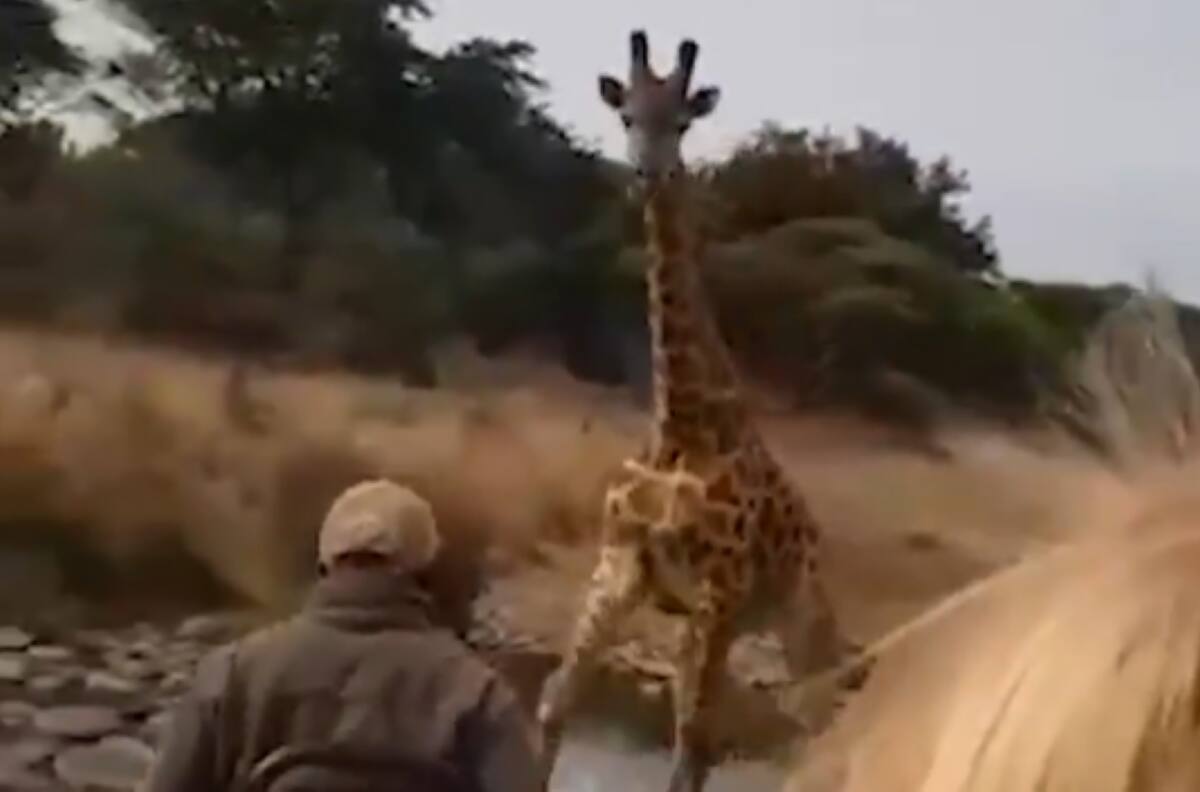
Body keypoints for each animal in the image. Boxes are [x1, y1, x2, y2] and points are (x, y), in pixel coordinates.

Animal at [535, 30, 868, 792]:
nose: (646, 171)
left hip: (796, 619)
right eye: (627, 116)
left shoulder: (719, 589)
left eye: (682, 122)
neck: (679, 422)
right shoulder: (622, 567)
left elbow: (691, 744)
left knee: (819, 727)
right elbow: (557, 699)